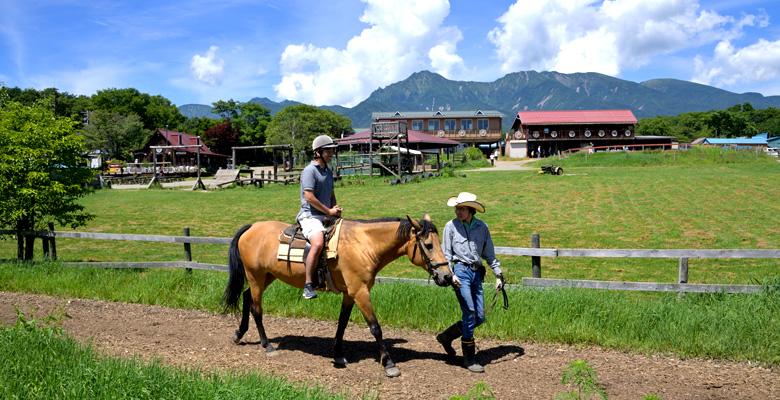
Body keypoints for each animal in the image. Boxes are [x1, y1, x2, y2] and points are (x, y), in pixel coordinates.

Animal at [221, 214, 450, 376]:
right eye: (428, 245)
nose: (447, 276)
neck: (363, 245)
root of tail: (252, 227)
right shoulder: (360, 291)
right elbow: (375, 328)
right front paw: (389, 363)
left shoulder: (350, 293)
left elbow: (342, 323)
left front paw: (338, 354)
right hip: (256, 276)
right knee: (256, 308)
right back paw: (267, 345)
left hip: (266, 277)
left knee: (246, 297)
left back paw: (239, 333)